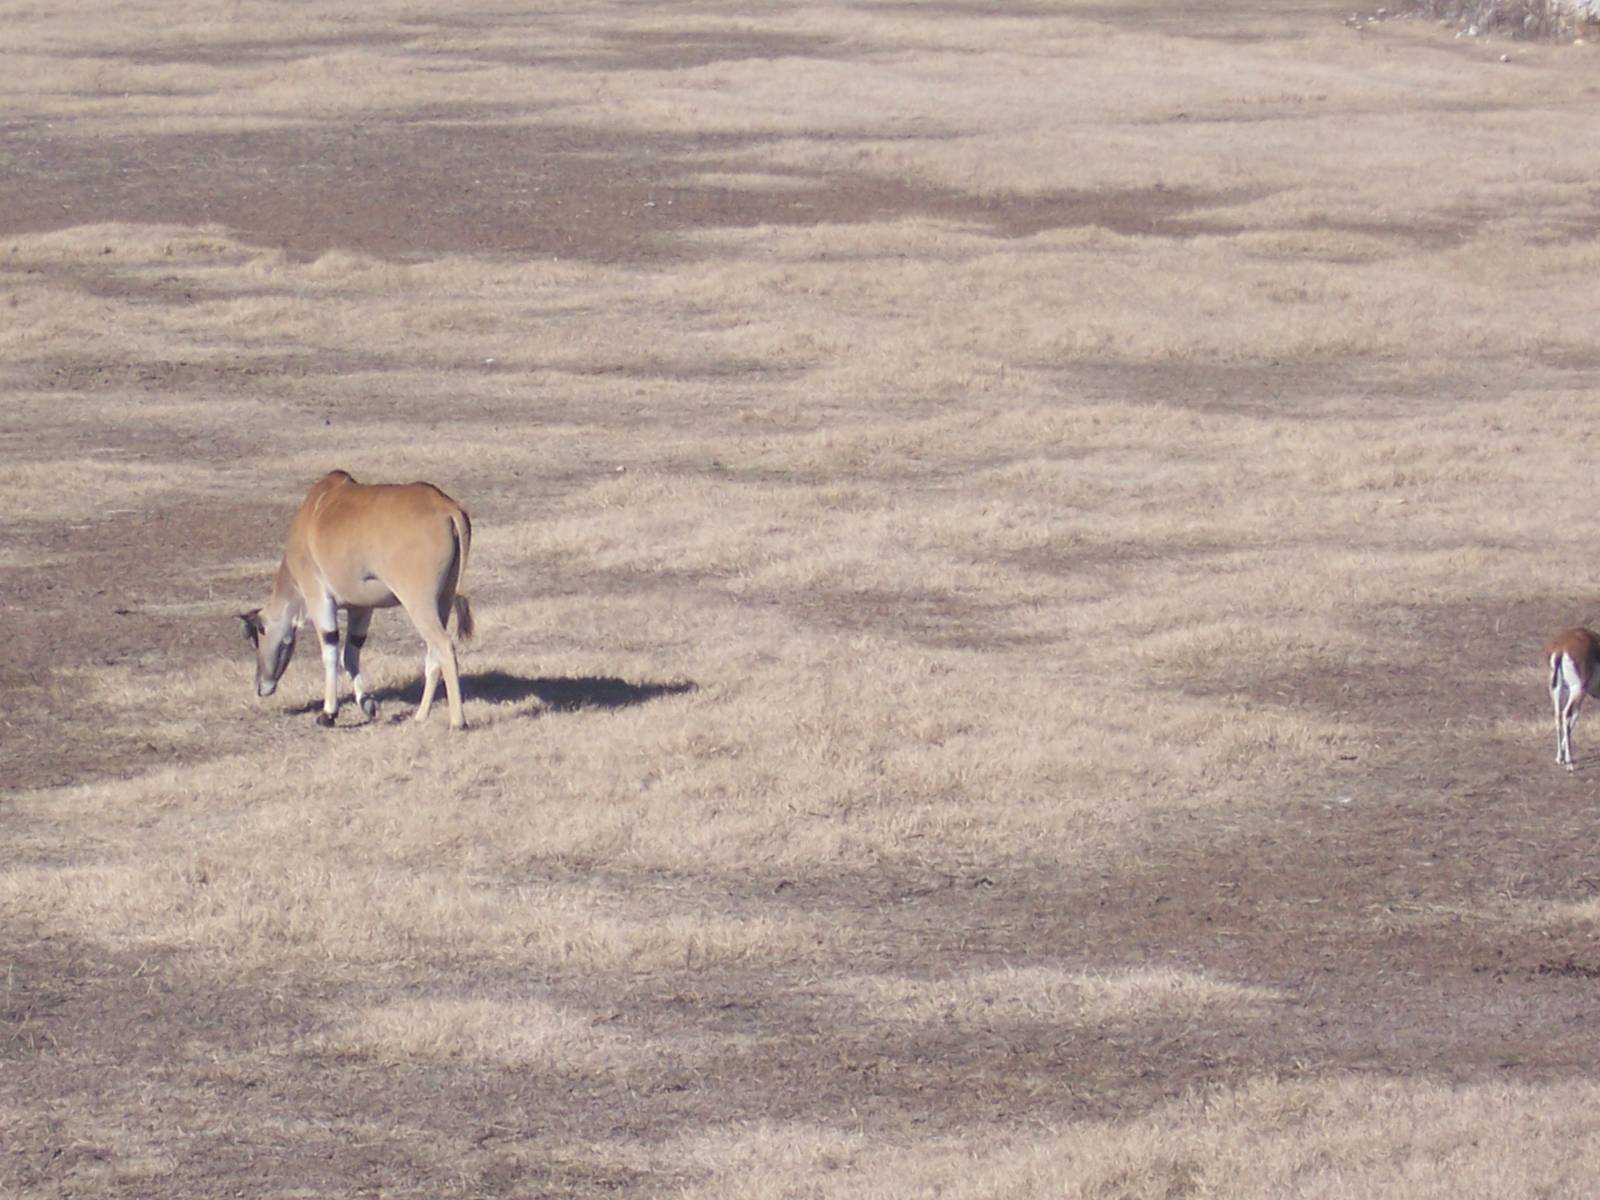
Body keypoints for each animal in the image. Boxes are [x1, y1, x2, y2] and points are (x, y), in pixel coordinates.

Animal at [239, 470, 475, 729]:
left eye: (258, 636)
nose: (261, 686)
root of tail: (447, 508)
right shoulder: (361, 608)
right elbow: (351, 654)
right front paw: (367, 703)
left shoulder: (319, 597)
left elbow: (331, 650)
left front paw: (328, 714)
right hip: (442, 602)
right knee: (433, 653)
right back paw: (420, 716)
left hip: (418, 603)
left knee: (443, 645)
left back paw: (458, 722)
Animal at [1546, 627, 1600, 769]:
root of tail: (1560, 648)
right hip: (1577, 689)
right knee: (1566, 714)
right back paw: (1569, 761)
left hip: (1559, 690)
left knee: (1559, 715)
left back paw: (1559, 758)